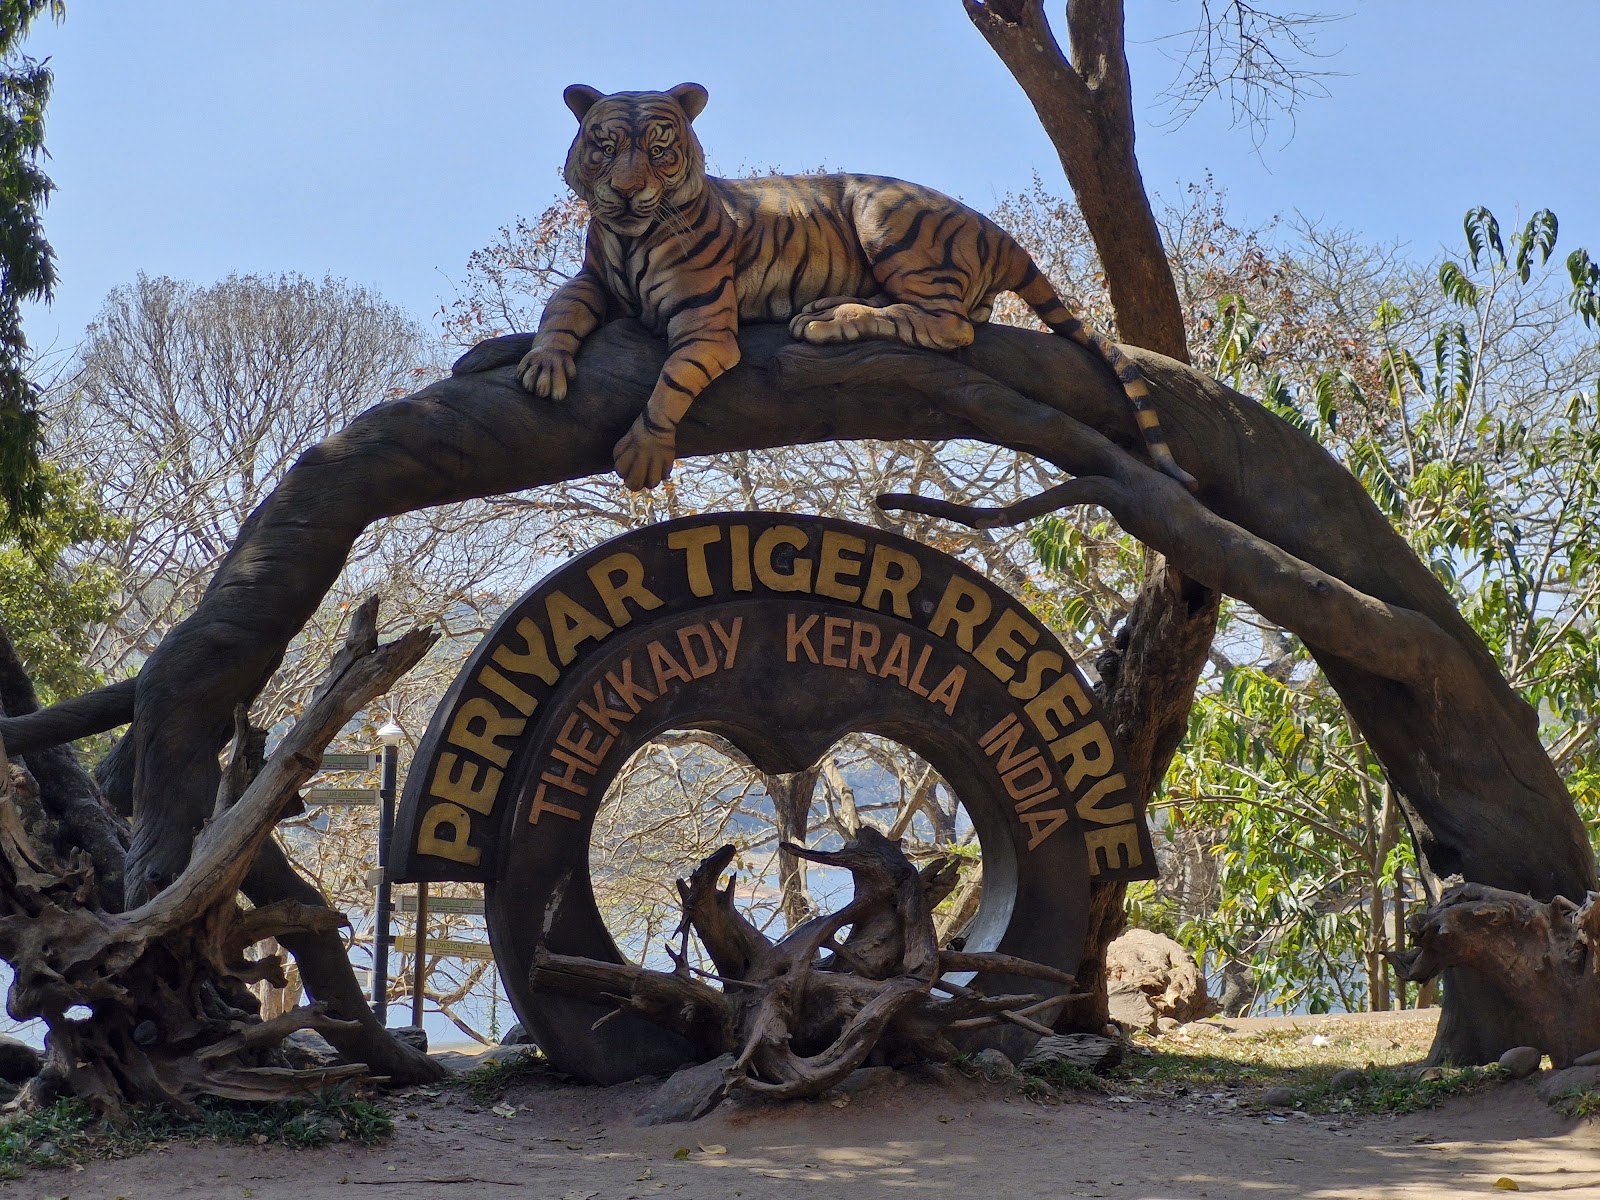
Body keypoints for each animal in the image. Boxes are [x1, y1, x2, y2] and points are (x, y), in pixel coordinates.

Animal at [518, 82, 1196, 494]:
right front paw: (543, 367)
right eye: (605, 148)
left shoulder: (705, 325)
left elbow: (671, 382)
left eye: (659, 152)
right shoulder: (591, 281)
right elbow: (560, 308)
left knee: (949, 323)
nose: (627, 190)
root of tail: (998, 232)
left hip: (886, 217)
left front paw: (644, 452)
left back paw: (828, 321)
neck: (627, 237)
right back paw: (829, 306)